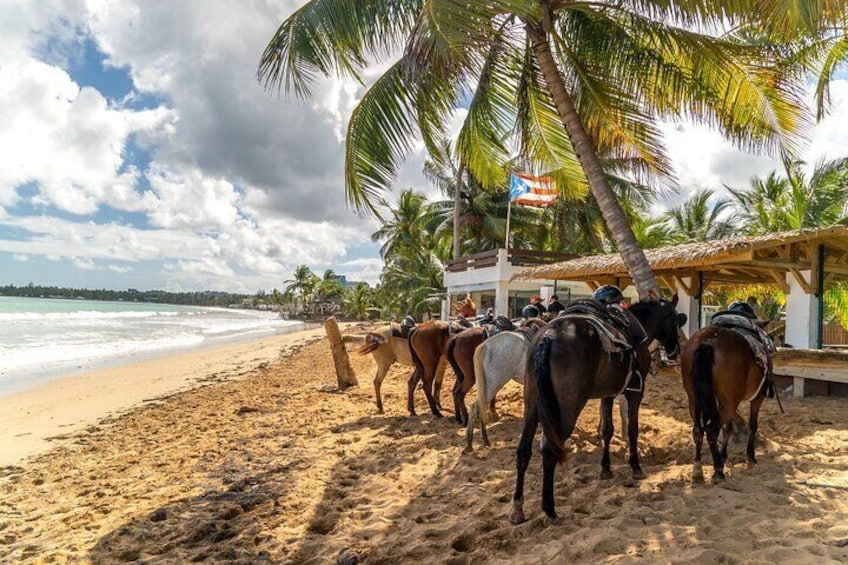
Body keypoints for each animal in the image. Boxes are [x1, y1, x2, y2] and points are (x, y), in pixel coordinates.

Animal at [506, 298, 684, 524]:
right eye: (676, 320)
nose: (674, 351)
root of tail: (549, 336)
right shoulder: (635, 392)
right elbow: (632, 430)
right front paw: (635, 467)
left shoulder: (607, 395)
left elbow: (607, 431)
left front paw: (606, 469)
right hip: (567, 410)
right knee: (549, 450)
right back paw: (549, 509)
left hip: (532, 405)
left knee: (523, 451)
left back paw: (517, 508)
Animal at [684, 326, 768, 480]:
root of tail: (708, 341)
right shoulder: (757, 398)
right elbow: (752, 425)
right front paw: (751, 456)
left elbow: (728, 428)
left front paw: (723, 456)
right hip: (729, 403)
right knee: (711, 430)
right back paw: (718, 469)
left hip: (695, 399)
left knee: (698, 430)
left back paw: (698, 468)